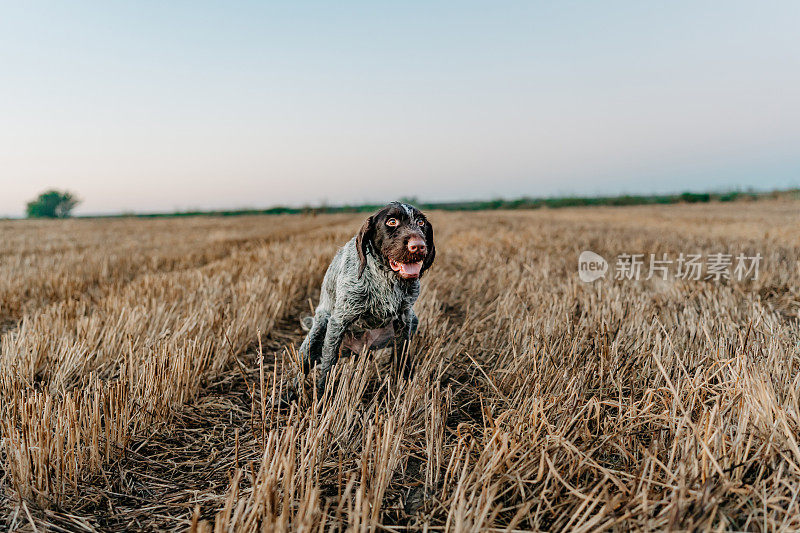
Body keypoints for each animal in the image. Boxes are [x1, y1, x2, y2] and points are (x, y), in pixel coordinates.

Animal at [296, 202, 434, 396]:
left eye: (421, 222)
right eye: (392, 221)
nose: (419, 246)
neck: (385, 277)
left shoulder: (404, 318)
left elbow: (402, 356)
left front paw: (404, 385)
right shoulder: (338, 321)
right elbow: (329, 364)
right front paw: (324, 396)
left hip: (413, 321)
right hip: (317, 331)